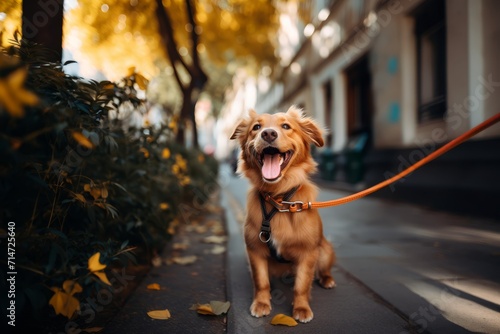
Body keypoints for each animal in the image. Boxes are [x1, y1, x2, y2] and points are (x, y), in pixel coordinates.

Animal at [231, 105, 336, 322]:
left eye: (286, 126)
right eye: (256, 127)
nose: (268, 134)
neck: (279, 199)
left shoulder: (308, 253)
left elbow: (302, 285)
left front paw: (301, 308)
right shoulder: (254, 251)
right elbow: (261, 281)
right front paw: (261, 303)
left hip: (325, 250)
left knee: (323, 270)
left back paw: (327, 279)